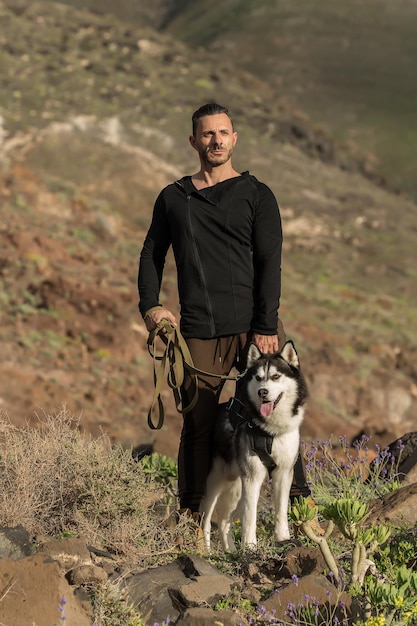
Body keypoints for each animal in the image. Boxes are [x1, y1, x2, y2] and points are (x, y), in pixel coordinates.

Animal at [200, 338, 308, 548]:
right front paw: (250, 546)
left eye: (276, 376)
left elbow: (281, 511)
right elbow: (250, 517)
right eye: (258, 378)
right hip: (215, 484)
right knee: (205, 520)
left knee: (224, 522)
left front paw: (283, 539)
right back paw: (205, 550)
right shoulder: (253, 477)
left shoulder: (283, 473)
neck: (271, 430)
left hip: (236, 486)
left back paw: (231, 551)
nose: (262, 392)